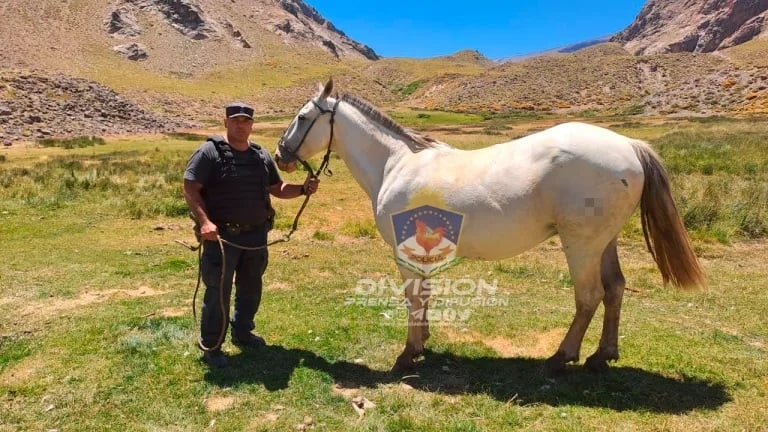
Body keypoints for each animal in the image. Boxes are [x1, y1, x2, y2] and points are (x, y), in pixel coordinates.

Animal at [274, 79, 705, 375]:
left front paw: (407, 355)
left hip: (581, 245)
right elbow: (425, 296)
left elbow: (413, 298)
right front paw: (423, 343)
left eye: (302, 117)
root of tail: (629, 145)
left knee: (589, 296)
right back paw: (602, 356)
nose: (280, 156)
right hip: (604, 242)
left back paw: (561, 357)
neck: (395, 164)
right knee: (615, 289)